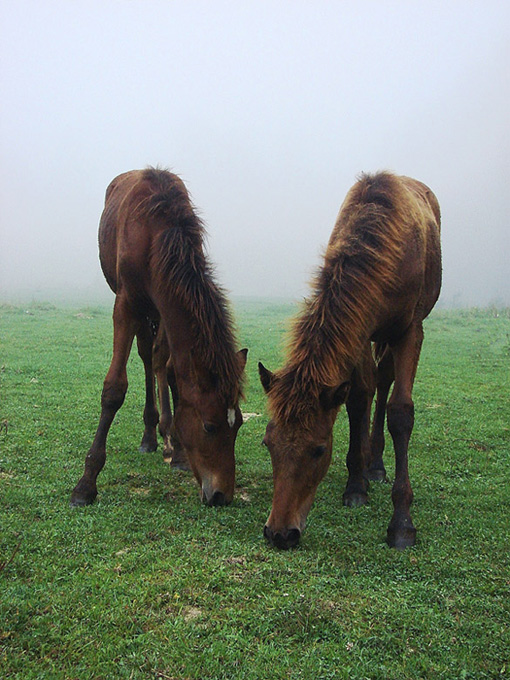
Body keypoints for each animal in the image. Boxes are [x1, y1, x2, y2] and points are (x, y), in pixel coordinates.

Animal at [71, 167, 247, 508]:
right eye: (210, 426)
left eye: (240, 423)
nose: (222, 495)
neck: (157, 235)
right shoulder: (126, 306)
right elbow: (115, 388)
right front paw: (86, 483)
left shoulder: (168, 304)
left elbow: (173, 369)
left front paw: (178, 449)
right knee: (145, 356)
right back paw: (150, 435)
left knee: (156, 359)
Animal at [260, 173, 440, 548]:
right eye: (268, 444)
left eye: (318, 449)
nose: (279, 533)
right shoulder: (358, 327)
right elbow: (357, 399)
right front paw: (356, 485)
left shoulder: (410, 331)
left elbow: (401, 412)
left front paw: (401, 522)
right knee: (375, 384)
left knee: (385, 384)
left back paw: (378, 464)